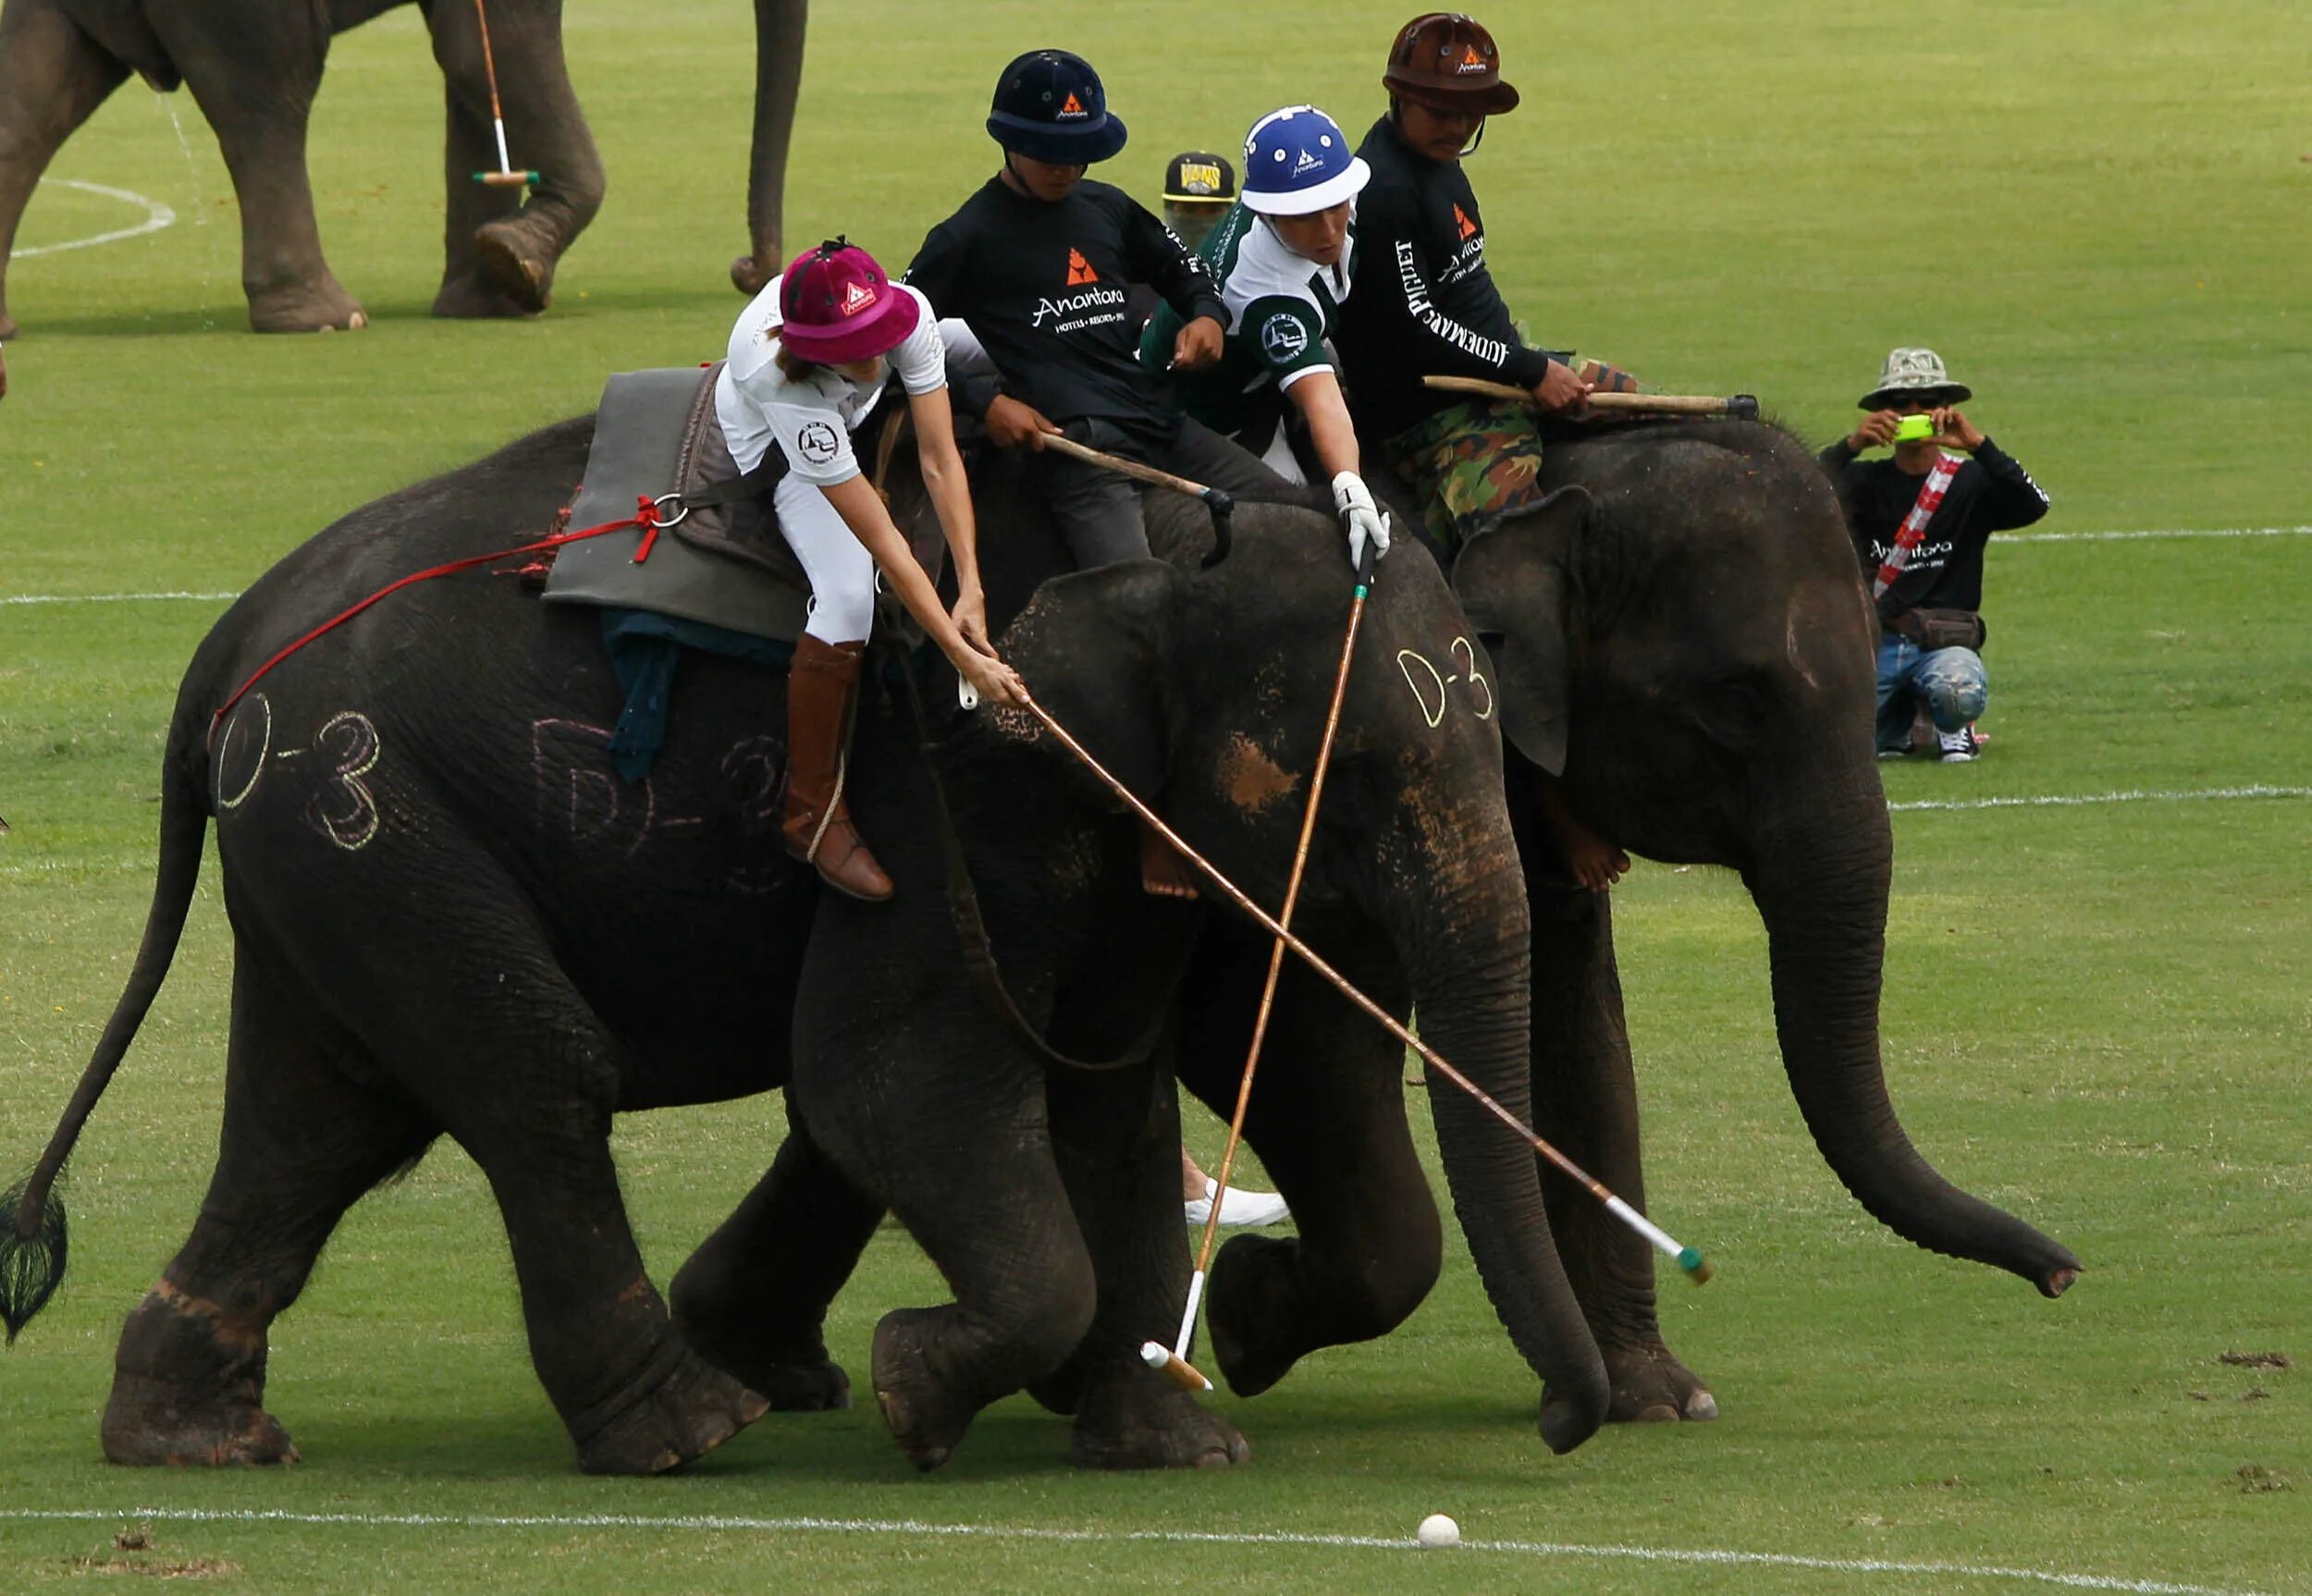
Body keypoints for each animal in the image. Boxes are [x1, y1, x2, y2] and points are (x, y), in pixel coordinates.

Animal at [0, 407, 1618, 1470]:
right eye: (1354, 777)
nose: (1557, 1425)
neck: (1169, 524)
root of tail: (228, 647)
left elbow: (1104, 1091)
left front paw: (1170, 1431)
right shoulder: (954, 781)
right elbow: (889, 1081)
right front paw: (922, 1389)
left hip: (335, 858)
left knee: (316, 1122)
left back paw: (192, 1435)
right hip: (373, 818)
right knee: (533, 1082)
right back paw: (683, 1429)